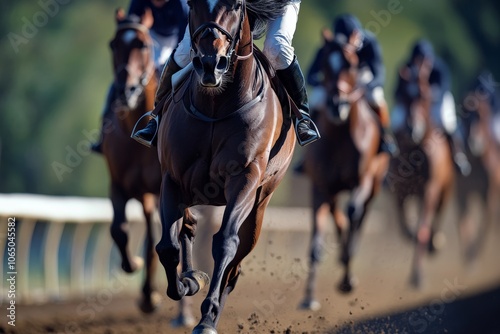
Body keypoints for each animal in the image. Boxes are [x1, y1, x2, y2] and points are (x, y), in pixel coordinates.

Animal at [154, 1, 294, 332]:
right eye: (192, 4)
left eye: (237, 5)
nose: (210, 64)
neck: (216, 105)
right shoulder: (172, 178)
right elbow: (167, 246)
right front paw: (189, 281)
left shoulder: (245, 179)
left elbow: (225, 244)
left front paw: (207, 316)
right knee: (187, 228)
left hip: (260, 203)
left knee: (235, 265)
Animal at [296, 39, 390, 310]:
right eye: (326, 65)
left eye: (352, 65)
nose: (337, 104)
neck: (339, 135)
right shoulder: (320, 185)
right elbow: (317, 241)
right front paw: (309, 297)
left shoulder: (362, 181)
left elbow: (353, 214)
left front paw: (348, 279)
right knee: (339, 217)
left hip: (375, 184)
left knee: (358, 216)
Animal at [386, 62, 458, 288]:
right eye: (403, 96)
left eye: (424, 95)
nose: (412, 129)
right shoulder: (399, 191)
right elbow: (405, 228)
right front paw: (410, 233)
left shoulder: (429, 190)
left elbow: (423, 230)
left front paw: (417, 276)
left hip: (445, 189)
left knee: (437, 216)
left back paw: (436, 242)